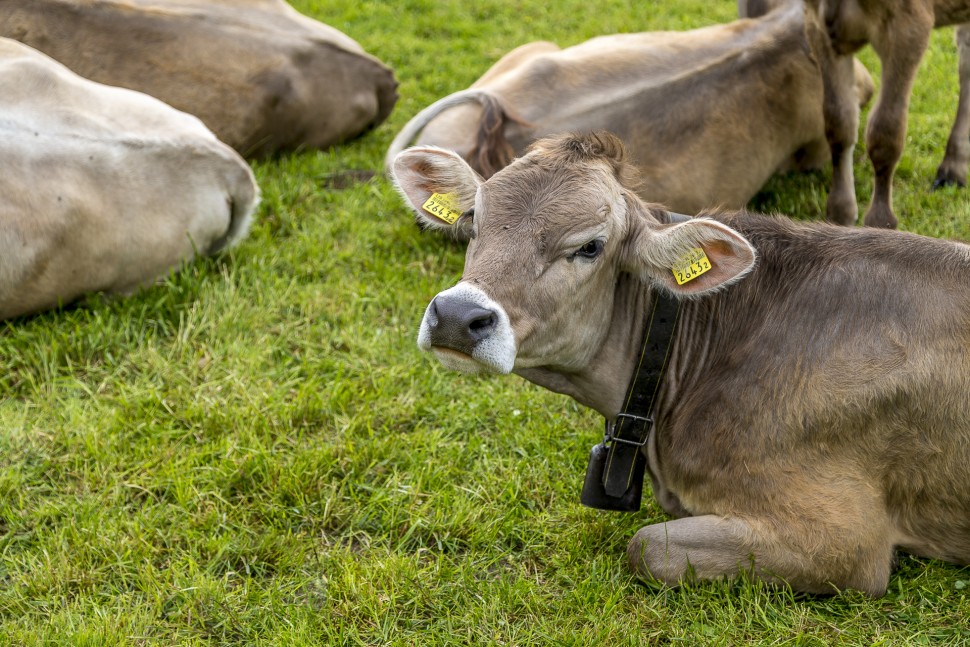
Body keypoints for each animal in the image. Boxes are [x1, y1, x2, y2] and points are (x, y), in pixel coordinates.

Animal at [804, 0, 968, 228]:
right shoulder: (818, 24)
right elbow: (839, 122)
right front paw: (840, 216)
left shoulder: (909, 25)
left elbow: (885, 132)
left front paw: (880, 222)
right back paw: (953, 169)